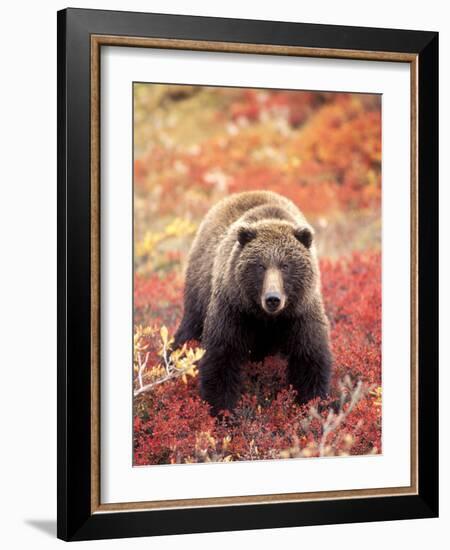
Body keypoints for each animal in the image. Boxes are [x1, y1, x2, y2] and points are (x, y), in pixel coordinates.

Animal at [174, 192, 332, 416]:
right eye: (260, 266)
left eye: (285, 265)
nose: (273, 298)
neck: (266, 318)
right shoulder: (234, 309)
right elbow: (221, 357)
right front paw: (223, 411)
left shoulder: (300, 314)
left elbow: (310, 359)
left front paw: (313, 406)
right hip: (199, 289)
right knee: (189, 330)